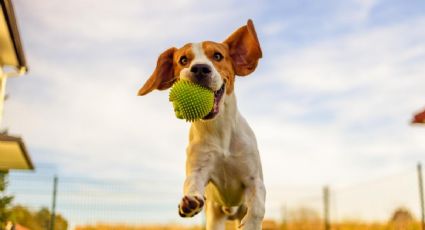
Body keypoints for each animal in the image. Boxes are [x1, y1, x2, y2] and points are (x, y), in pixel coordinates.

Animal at [138, 20, 264, 230]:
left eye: (218, 56)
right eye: (183, 60)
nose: (200, 69)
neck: (219, 130)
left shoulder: (254, 179)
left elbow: (258, 207)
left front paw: (250, 224)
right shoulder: (198, 168)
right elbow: (192, 183)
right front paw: (190, 202)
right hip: (215, 218)